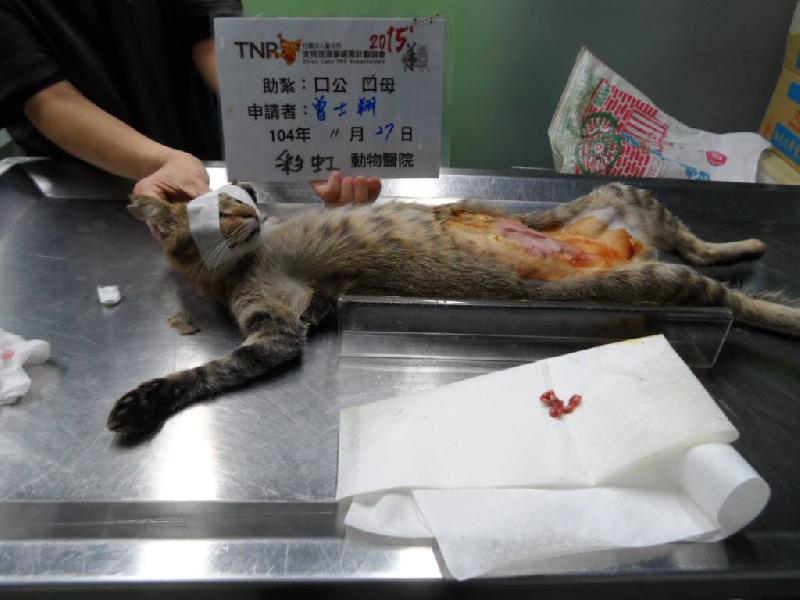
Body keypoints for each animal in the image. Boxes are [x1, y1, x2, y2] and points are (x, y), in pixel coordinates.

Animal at [107, 183, 799, 435]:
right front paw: (150, 397)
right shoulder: (275, 327)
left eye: (240, 194)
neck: (242, 262)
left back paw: (754, 247)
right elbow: (217, 367)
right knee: (726, 288)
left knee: (709, 255)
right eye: (220, 209)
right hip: (664, 271)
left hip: (630, 199)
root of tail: (631, 238)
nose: (249, 205)